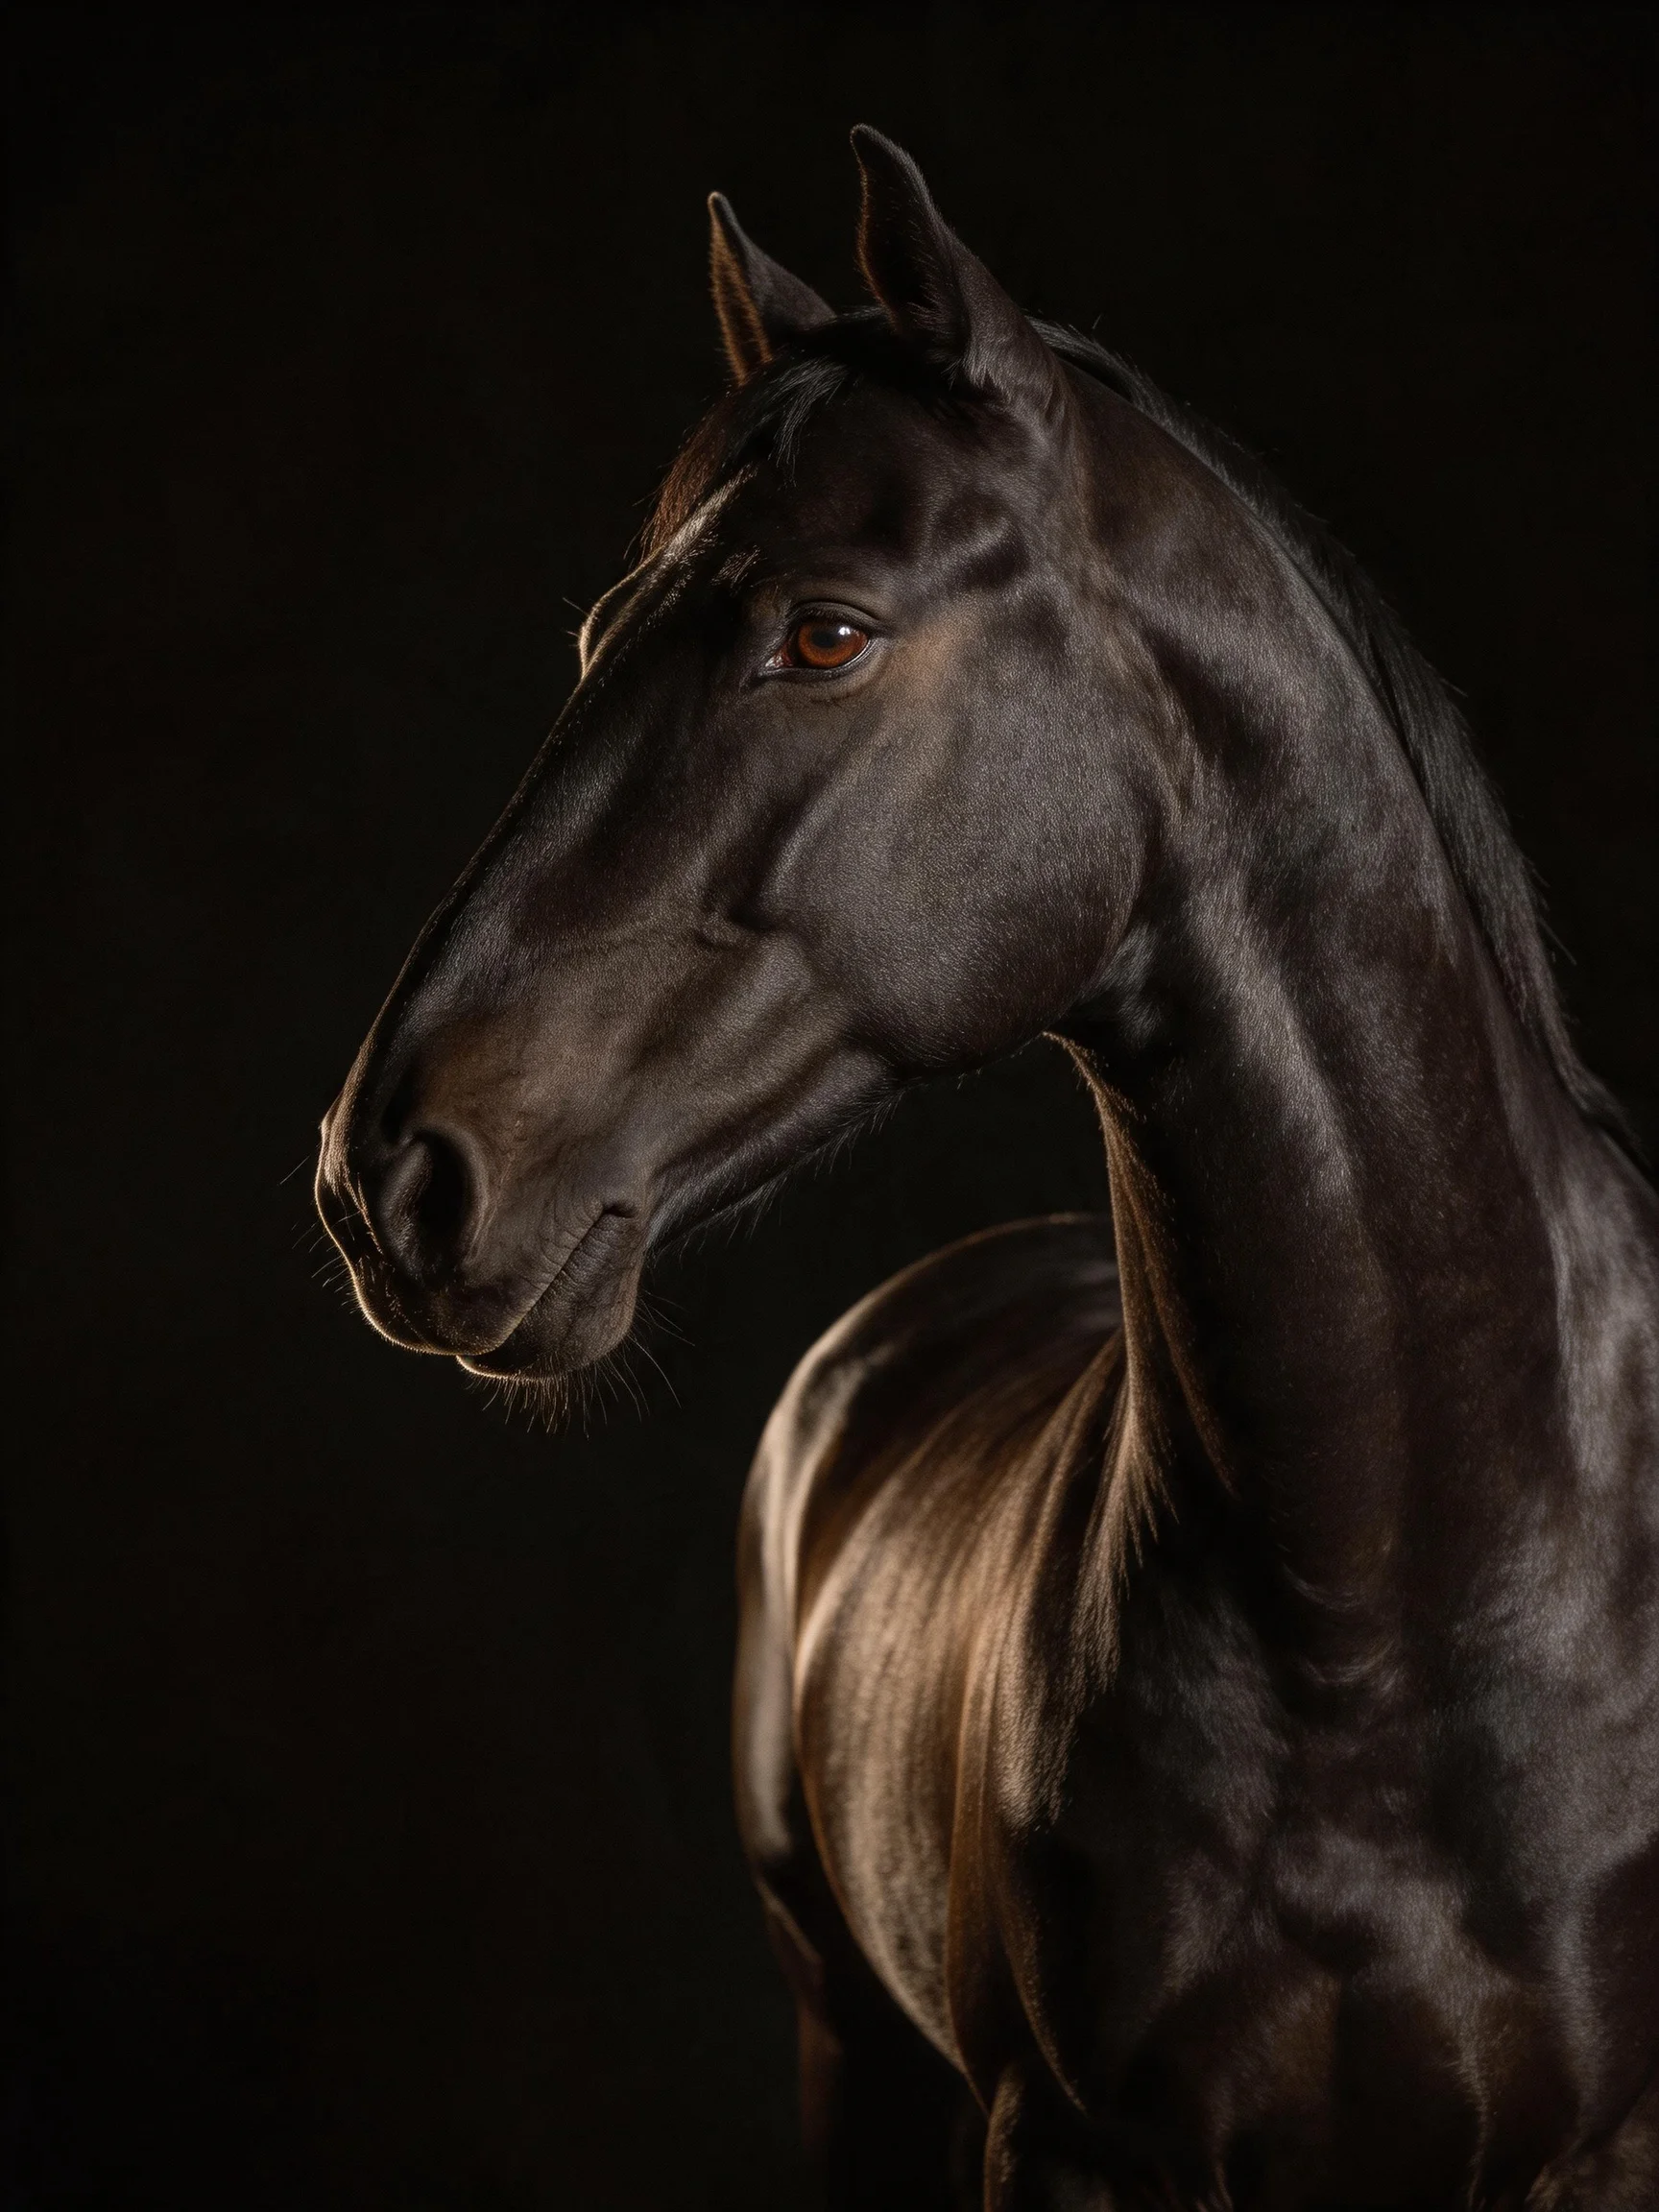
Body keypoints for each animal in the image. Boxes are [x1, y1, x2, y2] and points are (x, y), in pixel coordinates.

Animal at [315, 130, 1659, 2209]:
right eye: (598, 637)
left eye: (826, 630)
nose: (389, 1171)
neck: (1398, 1614)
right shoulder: (1077, 2150)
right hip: (852, 2053)